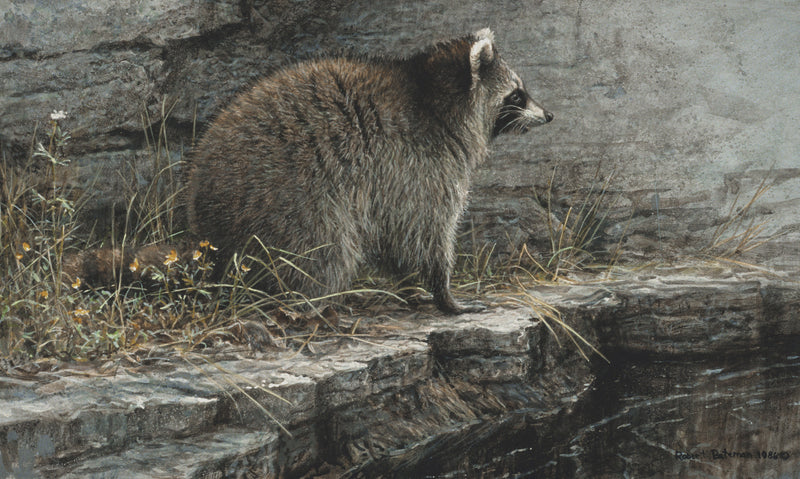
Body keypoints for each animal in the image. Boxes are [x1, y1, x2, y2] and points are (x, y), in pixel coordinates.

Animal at [182, 28, 553, 314]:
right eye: (516, 94)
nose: (549, 115)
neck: (431, 98)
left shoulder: (398, 172)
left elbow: (394, 236)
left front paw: (410, 286)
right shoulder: (419, 164)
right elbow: (421, 233)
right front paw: (443, 293)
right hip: (290, 201)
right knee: (325, 251)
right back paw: (307, 303)